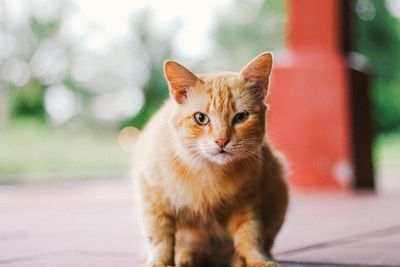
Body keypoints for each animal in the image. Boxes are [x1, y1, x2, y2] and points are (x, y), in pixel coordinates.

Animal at [134, 52, 288, 267]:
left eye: (241, 117)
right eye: (201, 118)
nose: (222, 140)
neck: (209, 170)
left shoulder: (247, 203)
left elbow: (250, 235)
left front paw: (257, 260)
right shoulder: (153, 199)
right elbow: (160, 238)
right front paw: (160, 262)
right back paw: (184, 257)